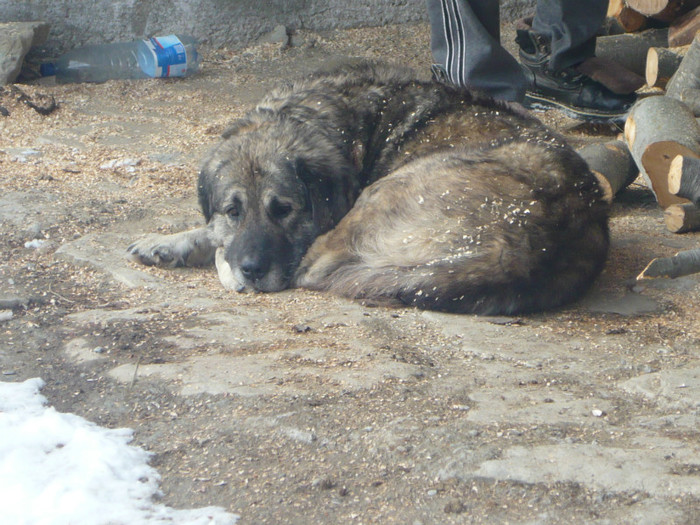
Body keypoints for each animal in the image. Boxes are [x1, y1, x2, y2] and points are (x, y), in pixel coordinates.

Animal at [129, 59, 608, 314]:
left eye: (283, 210)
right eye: (233, 211)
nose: (252, 270)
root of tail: (530, 253)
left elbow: (221, 249)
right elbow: (210, 231)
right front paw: (168, 242)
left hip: (377, 199)